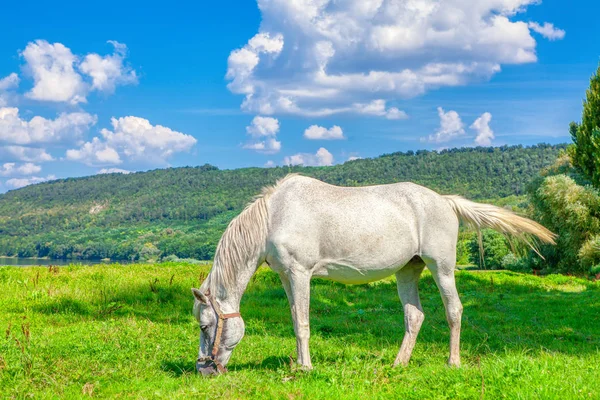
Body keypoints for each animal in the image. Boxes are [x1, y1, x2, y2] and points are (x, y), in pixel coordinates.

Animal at [190, 175, 556, 376]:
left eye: (206, 326)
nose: (203, 368)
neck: (274, 216)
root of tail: (446, 201)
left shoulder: (300, 273)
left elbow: (303, 322)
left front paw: (306, 368)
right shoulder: (286, 277)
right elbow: (295, 318)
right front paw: (298, 363)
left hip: (442, 268)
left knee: (454, 311)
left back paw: (453, 362)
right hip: (408, 270)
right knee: (414, 316)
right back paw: (398, 364)